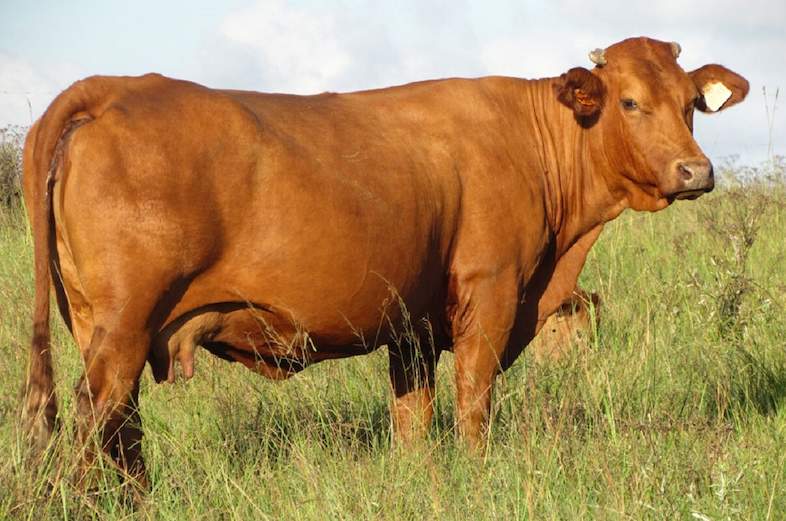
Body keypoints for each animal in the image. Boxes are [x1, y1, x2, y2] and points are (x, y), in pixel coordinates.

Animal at [21, 37, 748, 489]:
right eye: (629, 101)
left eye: (691, 104)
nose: (696, 170)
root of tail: (111, 89)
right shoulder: (490, 295)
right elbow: (474, 403)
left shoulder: (413, 325)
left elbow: (412, 420)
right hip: (124, 324)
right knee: (94, 417)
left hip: (97, 324)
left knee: (121, 425)